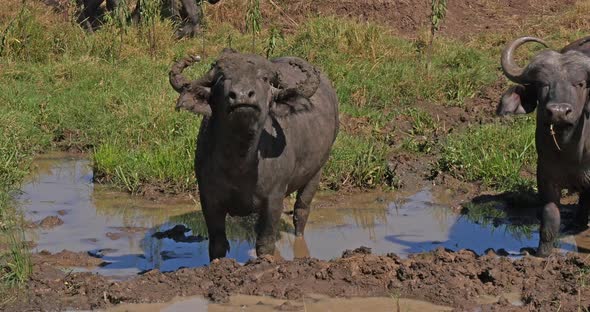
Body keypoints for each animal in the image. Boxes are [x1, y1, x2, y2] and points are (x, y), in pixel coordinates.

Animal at [169, 48, 340, 260]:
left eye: (264, 78)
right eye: (222, 77)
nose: (242, 95)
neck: (241, 162)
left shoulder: (274, 199)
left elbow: (265, 243)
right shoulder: (208, 198)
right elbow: (217, 244)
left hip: (316, 172)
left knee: (301, 211)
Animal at [502, 36, 590, 256]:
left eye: (580, 83)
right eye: (543, 84)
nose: (558, 112)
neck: (570, 152)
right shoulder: (545, 175)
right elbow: (550, 217)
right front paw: (542, 254)